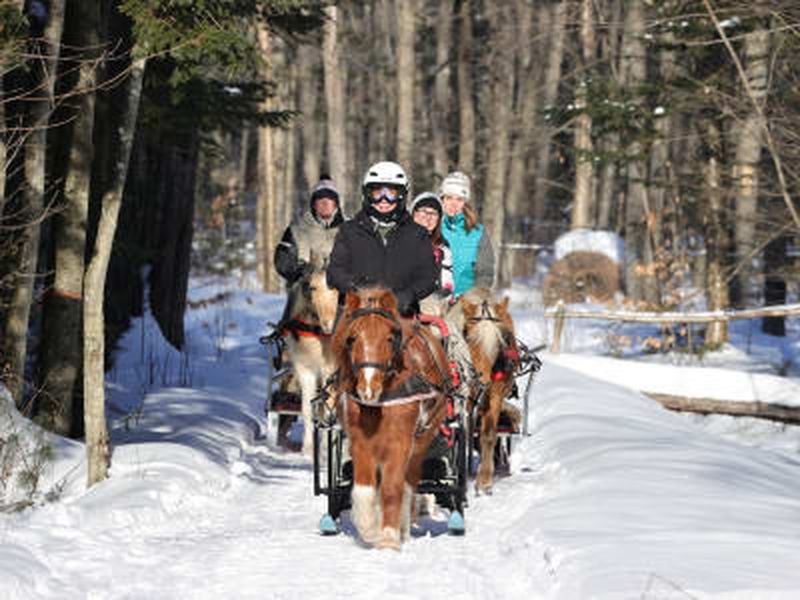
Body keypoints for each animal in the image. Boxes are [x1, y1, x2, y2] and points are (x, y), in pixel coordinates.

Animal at [282, 261, 339, 458]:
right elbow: (308, 409)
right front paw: (308, 448)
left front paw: (325, 449)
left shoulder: (331, 370)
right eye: (312, 287)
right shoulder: (305, 369)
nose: (329, 324)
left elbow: (329, 409)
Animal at [332, 286, 450, 550]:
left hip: (422, 440)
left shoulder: (400, 442)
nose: (368, 388)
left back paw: (403, 529)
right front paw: (370, 529)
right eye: (352, 338)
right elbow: (364, 490)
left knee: (409, 482)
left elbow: (392, 488)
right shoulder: (361, 442)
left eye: (389, 338)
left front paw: (388, 538)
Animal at [447, 287, 520, 494]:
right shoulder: (465, 395)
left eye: (499, 341)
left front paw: (484, 481)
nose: (482, 379)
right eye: (469, 337)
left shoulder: (495, 393)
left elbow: (488, 434)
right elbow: (464, 430)